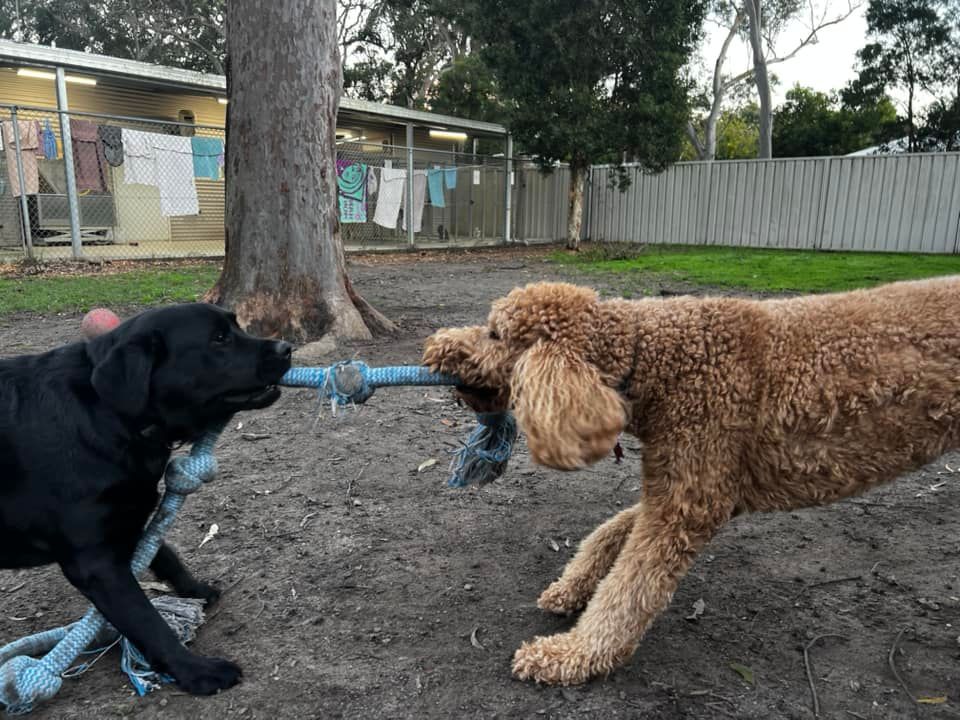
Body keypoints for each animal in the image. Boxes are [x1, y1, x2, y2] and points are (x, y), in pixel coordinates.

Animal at [0, 306, 290, 696]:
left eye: (236, 326)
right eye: (219, 339)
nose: (286, 347)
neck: (108, 413)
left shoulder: (126, 517)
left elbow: (165, 554)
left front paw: (195, 590)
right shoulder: (95, 564)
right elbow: (147, 620)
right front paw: (198, 671)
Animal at [424, 278, 960, 688]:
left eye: (494, 333)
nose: (437, 349)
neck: (651, 357)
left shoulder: (690, 499)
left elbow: (630, 588)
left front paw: (572, 654)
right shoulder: (689, 484)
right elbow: (612, 530)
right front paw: (571, 585)